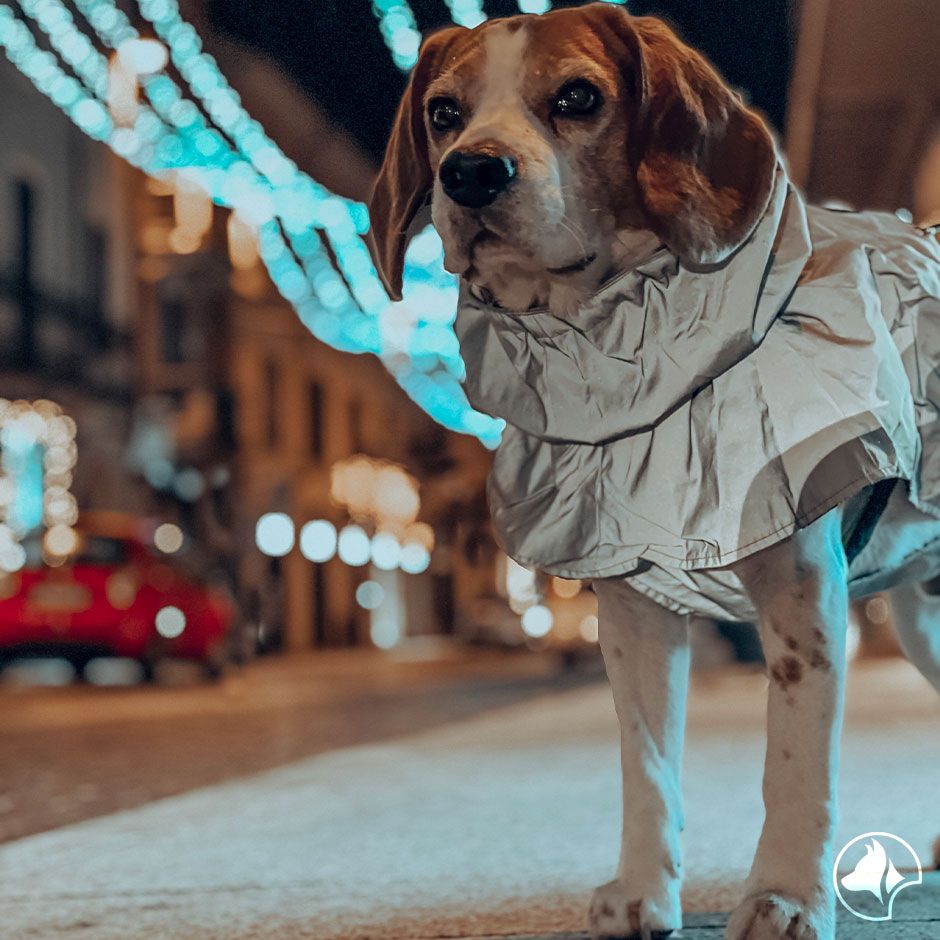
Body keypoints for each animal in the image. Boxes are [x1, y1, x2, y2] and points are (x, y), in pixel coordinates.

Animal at [368, 3, 940, 936]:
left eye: (577, 97)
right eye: (443, 113)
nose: (471, 173)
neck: (613, 353)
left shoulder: (802, 605)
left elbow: (794, 769)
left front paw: (784, 895)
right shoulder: (632, 617)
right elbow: (648, 770)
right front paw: (642, 890)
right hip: (925, 614)